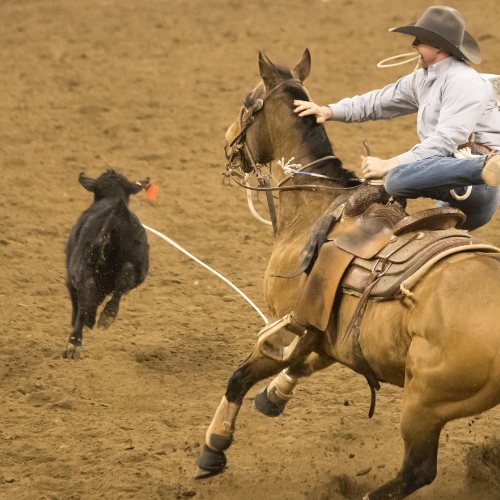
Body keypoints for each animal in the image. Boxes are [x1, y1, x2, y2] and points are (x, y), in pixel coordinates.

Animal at [193, 47, 500, 500]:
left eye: (248, 103)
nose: (227, 142)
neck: (318, 206)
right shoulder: (324, 329)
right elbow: (307, 363)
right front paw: (274, 395)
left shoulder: (294, 320)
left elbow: (240, 376)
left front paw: (214, 448)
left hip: (424, 403)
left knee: (417, 470)